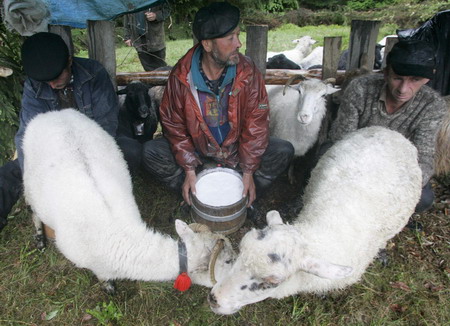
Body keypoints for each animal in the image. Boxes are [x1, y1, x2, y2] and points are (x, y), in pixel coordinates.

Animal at [22, 109, 237, 292]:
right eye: (227, 261)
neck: (121, 237)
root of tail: (53, 113)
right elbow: (104, 278)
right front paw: (108, 287)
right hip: (29, 182)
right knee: (33, 212)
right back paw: (39, 238)